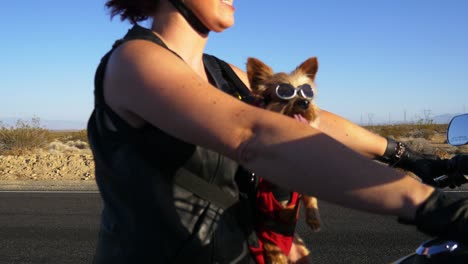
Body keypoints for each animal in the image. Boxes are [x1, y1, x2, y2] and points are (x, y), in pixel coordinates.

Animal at [245, 56, 322, 262]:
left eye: (307, 91)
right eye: (284, 93)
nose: (305, 102)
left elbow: (311, 197)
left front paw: (314, 219)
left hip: (304, 254)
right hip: (273, 250)